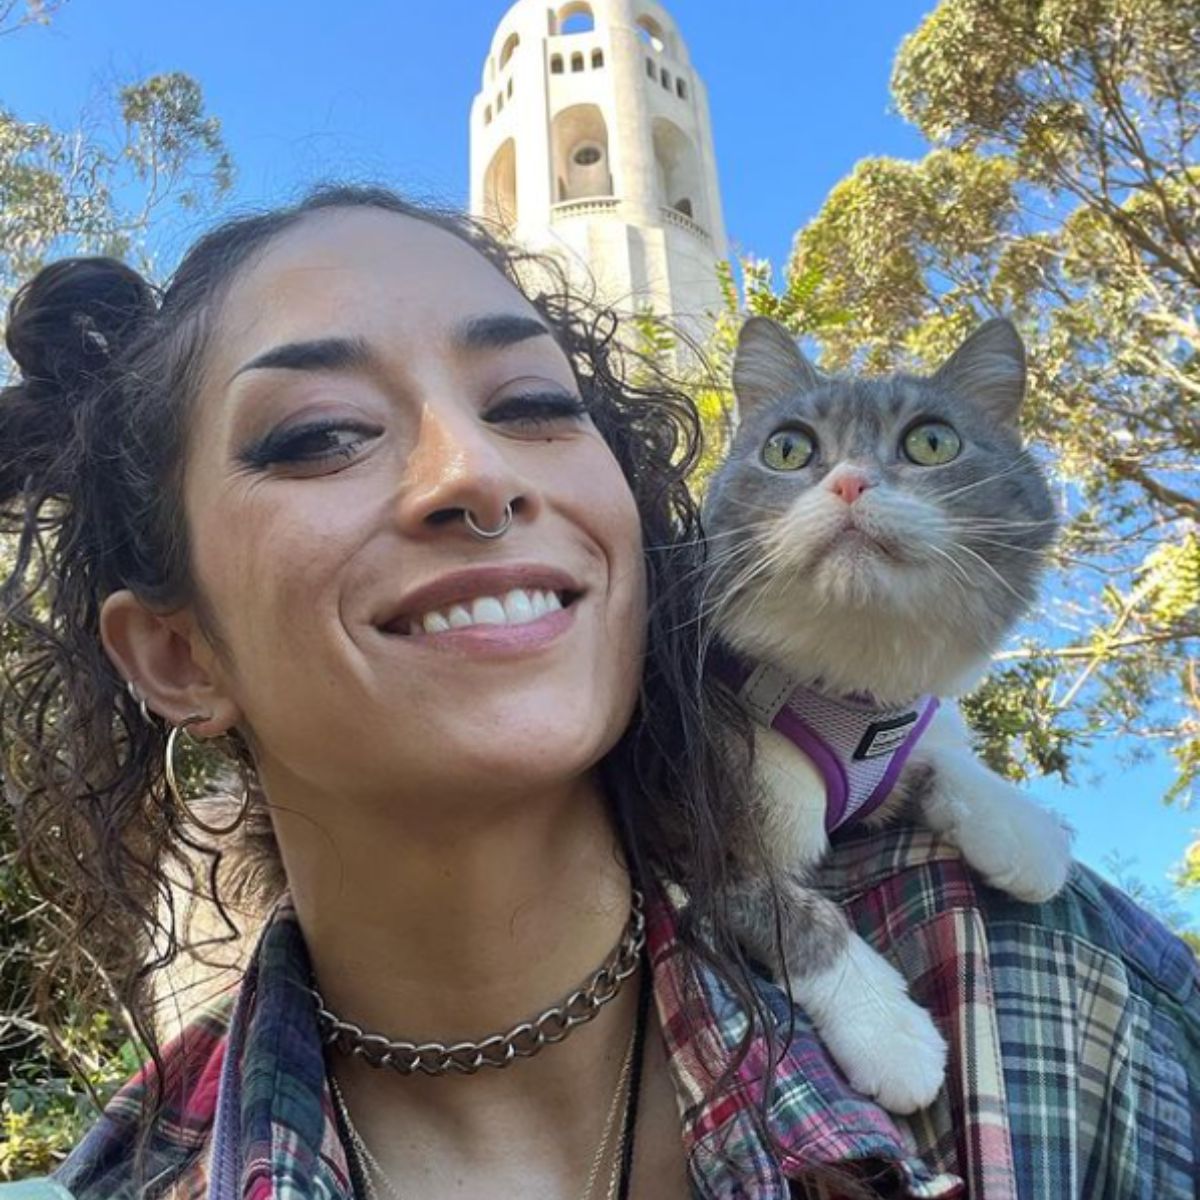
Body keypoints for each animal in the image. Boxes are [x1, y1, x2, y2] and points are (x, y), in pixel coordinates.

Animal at [700, 316, 1070, 1113]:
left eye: (932, 441)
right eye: (788, 448)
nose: (850, 481)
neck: (849, 684)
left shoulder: (901, 729)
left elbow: (940, 753)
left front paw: (1022, 831)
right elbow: (793, 913)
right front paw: (890, 1031)